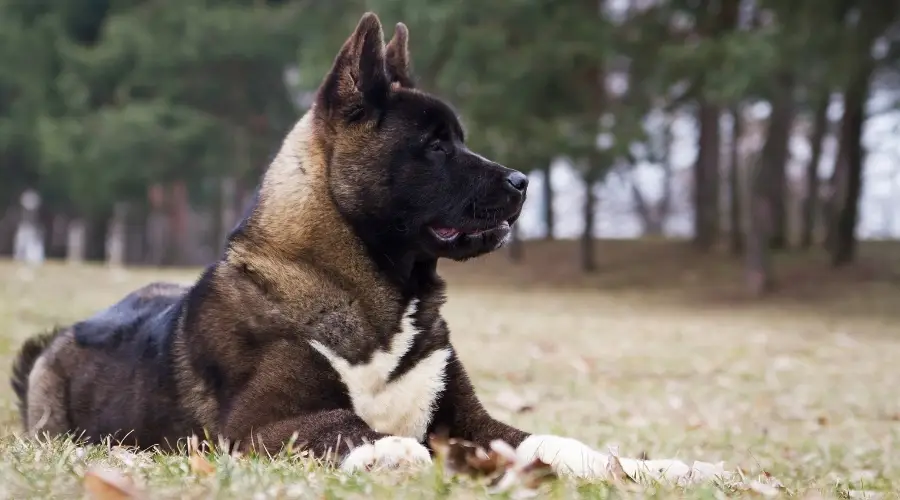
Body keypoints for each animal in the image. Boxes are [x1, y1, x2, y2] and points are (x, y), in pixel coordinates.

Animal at [10, 11, 720, 480]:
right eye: (435, 145)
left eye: (458, 138)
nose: (523, 182)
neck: (371, 291)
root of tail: (57, 339)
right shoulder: (259, 428)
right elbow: (350, 426)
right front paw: (393, 450)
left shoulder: (474, 423)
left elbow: (561, 443)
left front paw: (665, 467)